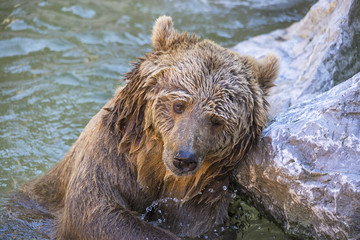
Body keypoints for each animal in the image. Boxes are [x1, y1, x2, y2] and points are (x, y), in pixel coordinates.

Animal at [18, 15, 280, 239]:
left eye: (217, 121)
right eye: (178, 105)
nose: (184, 158)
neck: (155, 168)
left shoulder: (204, 195)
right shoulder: (108, 158)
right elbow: (97, 213)